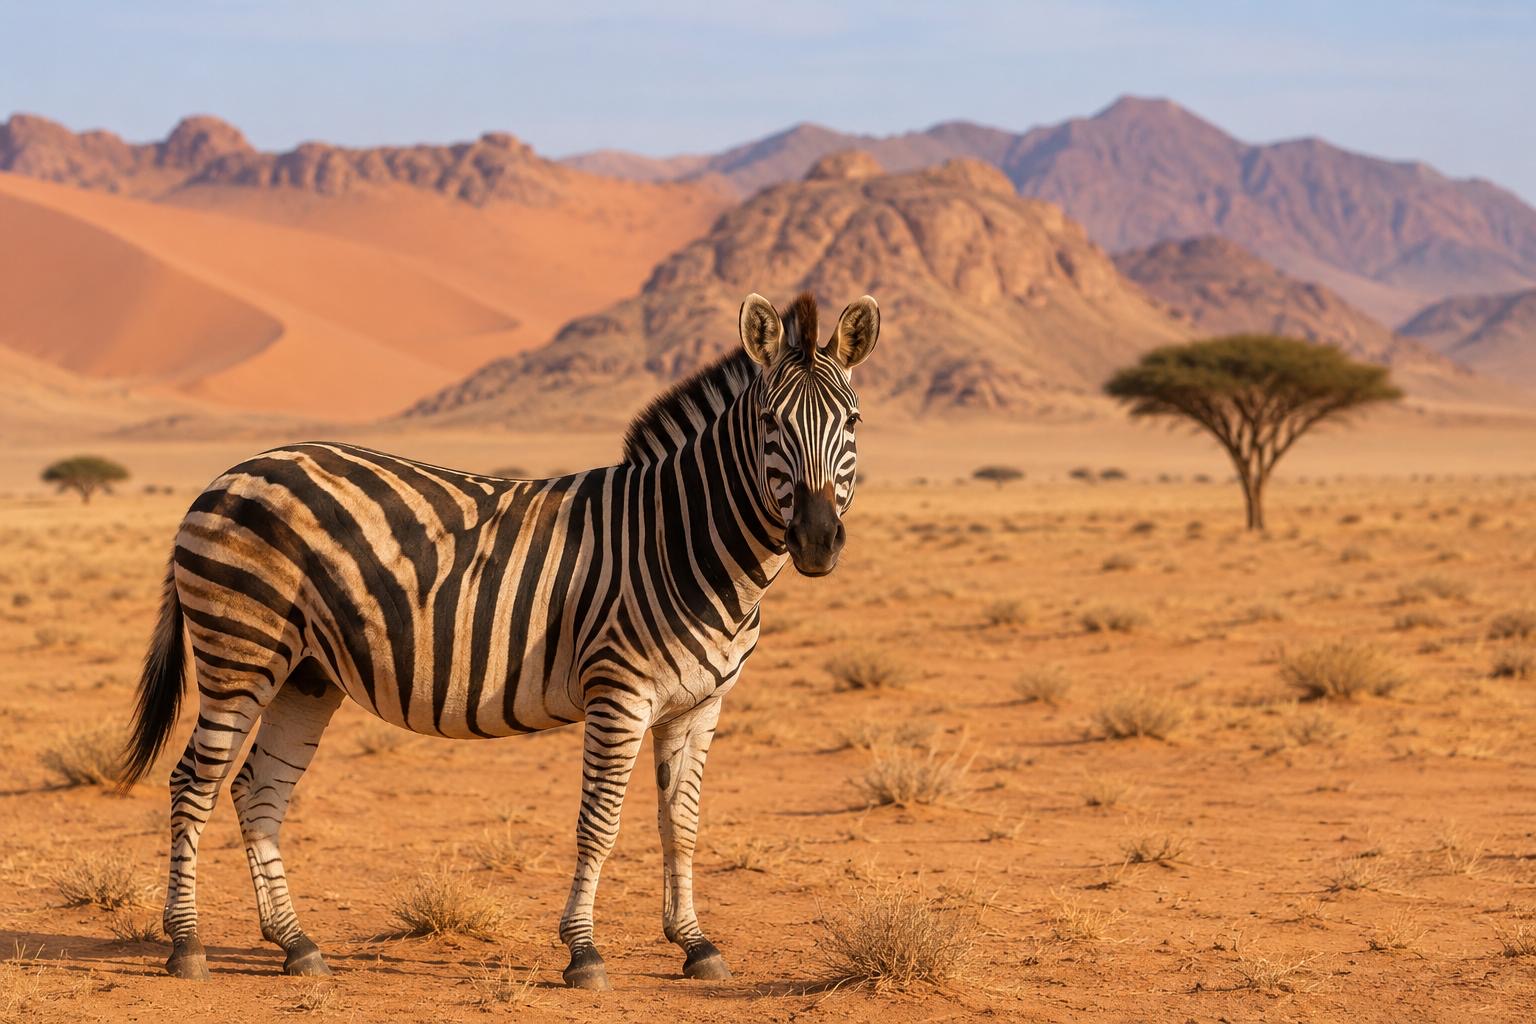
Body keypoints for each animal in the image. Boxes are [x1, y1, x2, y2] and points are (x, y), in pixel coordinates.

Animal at [120, 291, 880, 989]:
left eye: (853, 421)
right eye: (771, 423)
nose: (817, 541)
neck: (682, 542)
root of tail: (228, 475)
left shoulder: (699, 704)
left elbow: (681, 824)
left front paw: (694, 944)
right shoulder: (619, 692)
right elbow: (600, 822)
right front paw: (584, 952)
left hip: (307, 674)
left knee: (258, 789)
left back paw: (295, 944)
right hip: (240, 652)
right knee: (194, 781)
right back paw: (186, 945)